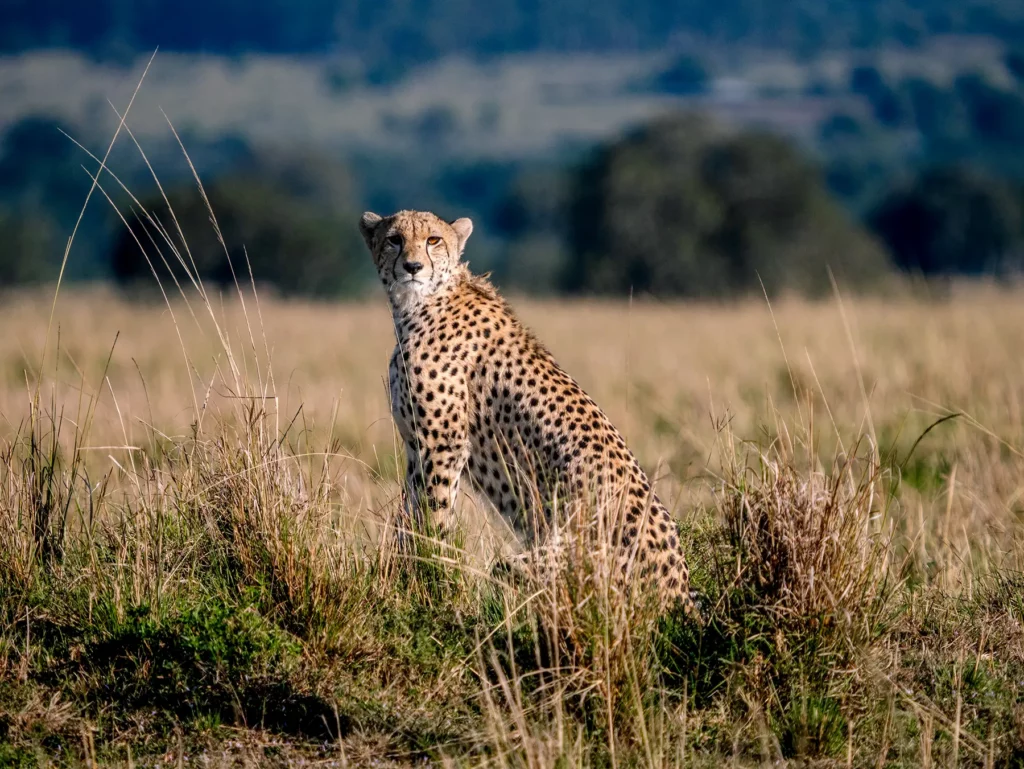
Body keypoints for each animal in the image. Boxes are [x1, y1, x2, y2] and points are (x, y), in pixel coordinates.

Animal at [359, 208, 696, 616]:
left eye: (433, 240)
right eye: (394, 239)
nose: (412, 266)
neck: (419, 304)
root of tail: (682, 589)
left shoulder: (441, 446)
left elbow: (431, 516)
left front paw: (426, 578)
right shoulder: (417, 446)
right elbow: (409, 513)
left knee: (511, 572)